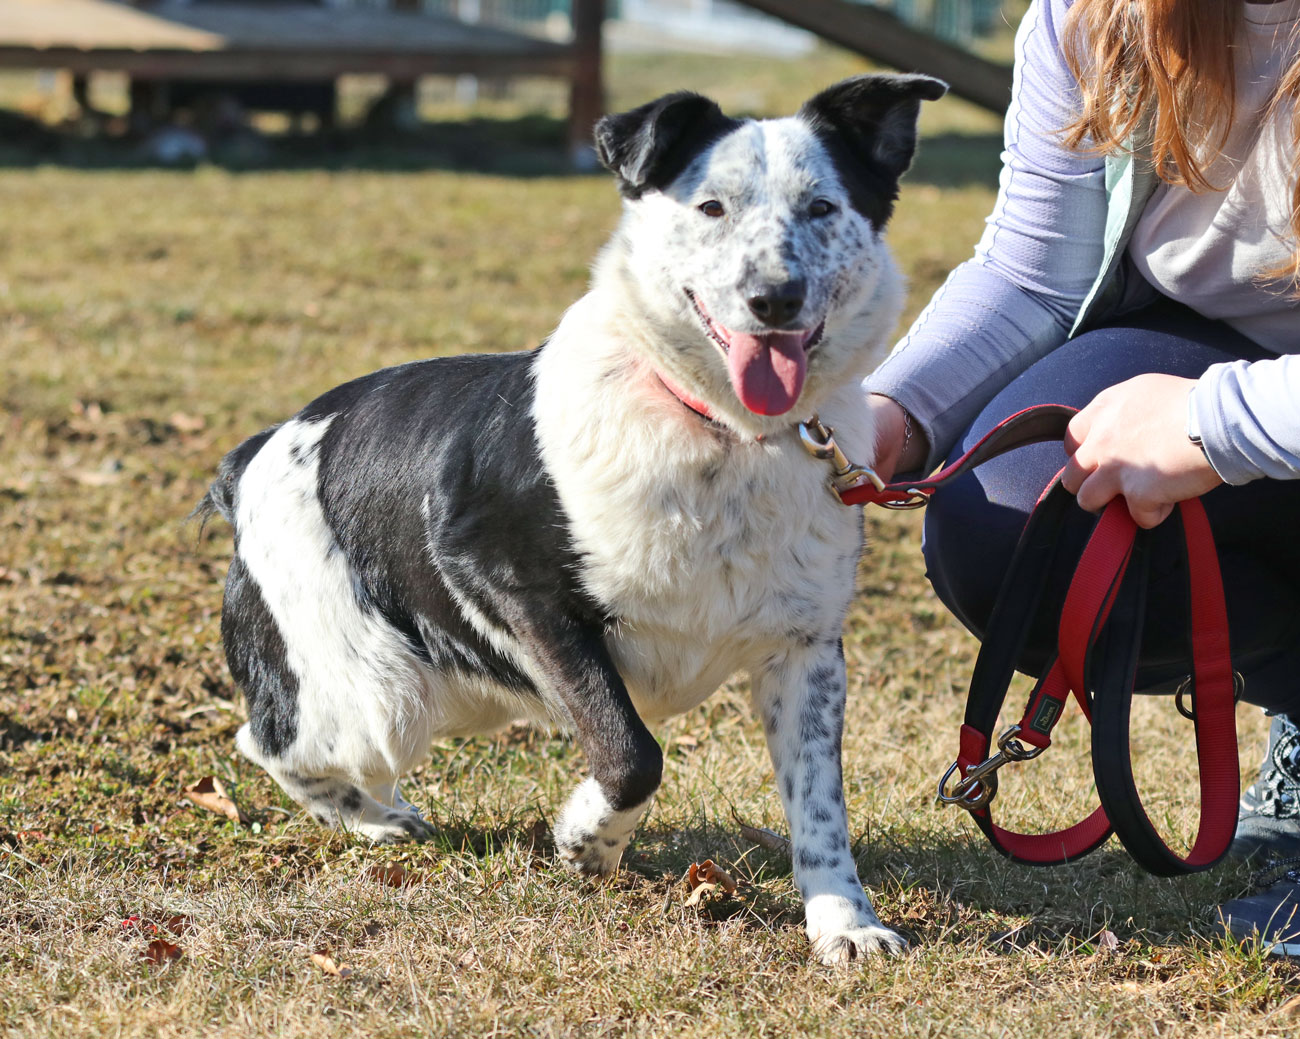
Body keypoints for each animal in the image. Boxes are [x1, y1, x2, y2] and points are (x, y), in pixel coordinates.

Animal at [198, 73, 946, 964]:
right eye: (712, 207)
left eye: (823, 207)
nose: (774, 298)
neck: (721, 433)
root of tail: (257, 453)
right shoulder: (522, 594)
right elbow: (631, 753)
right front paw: (588, 839)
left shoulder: (805, 654)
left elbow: (820, 808)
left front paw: (846, 923)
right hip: (376, 697)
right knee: (269, 741)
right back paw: (376, 819)